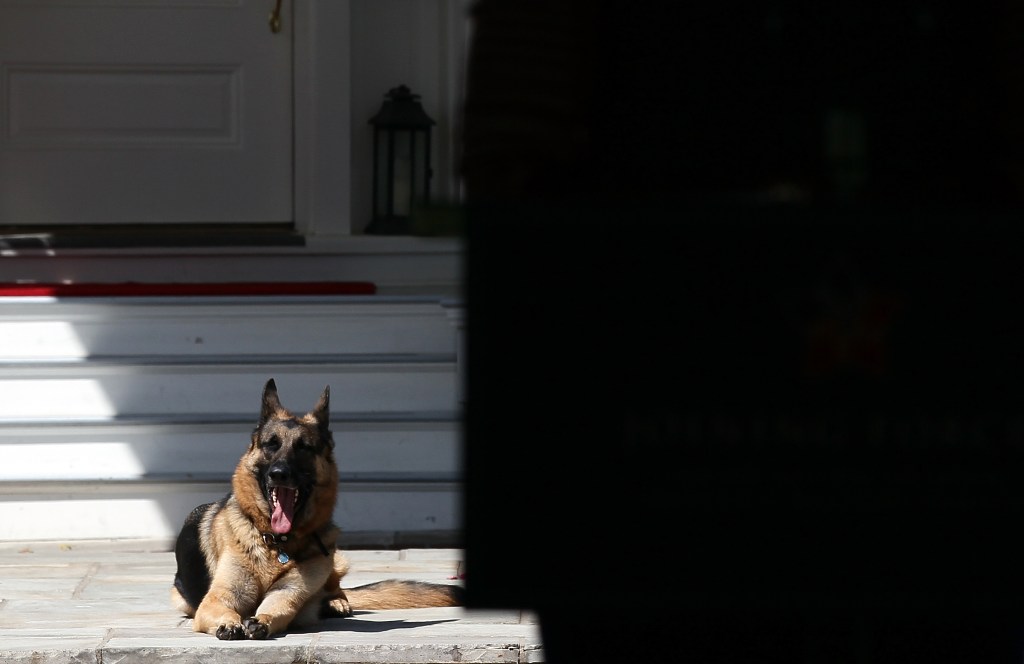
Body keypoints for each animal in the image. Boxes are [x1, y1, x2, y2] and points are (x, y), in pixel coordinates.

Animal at [172, 379, 464, 639]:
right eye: (271, 445)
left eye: (304, 447)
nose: (279, 474)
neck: (277, 544)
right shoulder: (217, 600)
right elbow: (224, 610)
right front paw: (230, 622)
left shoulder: (288, 594)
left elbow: (277, 609)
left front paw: (262, 620)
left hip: (335, 559)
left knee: (335, 588)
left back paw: (336, 602)